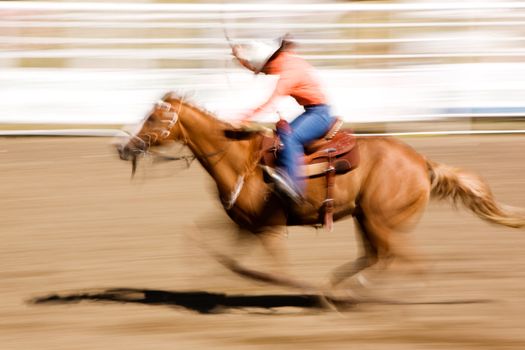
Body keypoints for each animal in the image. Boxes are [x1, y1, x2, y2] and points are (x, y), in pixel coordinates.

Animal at [116, 91, 524, 300]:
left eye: (155, 118)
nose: (124, 148)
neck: (239, 158)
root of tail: (422, 162)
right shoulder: (244, 225)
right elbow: (212, 249)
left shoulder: (268, 228)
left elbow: (274, 268)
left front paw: (290, 289)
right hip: (367, 218)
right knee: (379, 257)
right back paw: (339, 289)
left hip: (382, 220)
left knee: (403, 260)